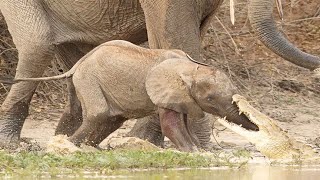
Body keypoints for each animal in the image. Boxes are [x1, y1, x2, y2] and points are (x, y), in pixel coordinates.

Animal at [16, 40, 258, 151]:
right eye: (210, 99)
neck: (190, 67)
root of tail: (78, 64)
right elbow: (171, 124)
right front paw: (193, 152)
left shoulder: (181, 96)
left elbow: (183, 122)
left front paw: (197, 150)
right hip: (89, 79)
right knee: (97, 115)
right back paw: (70, 146)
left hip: (83, 82)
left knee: (95, 116)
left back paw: (71, 145)